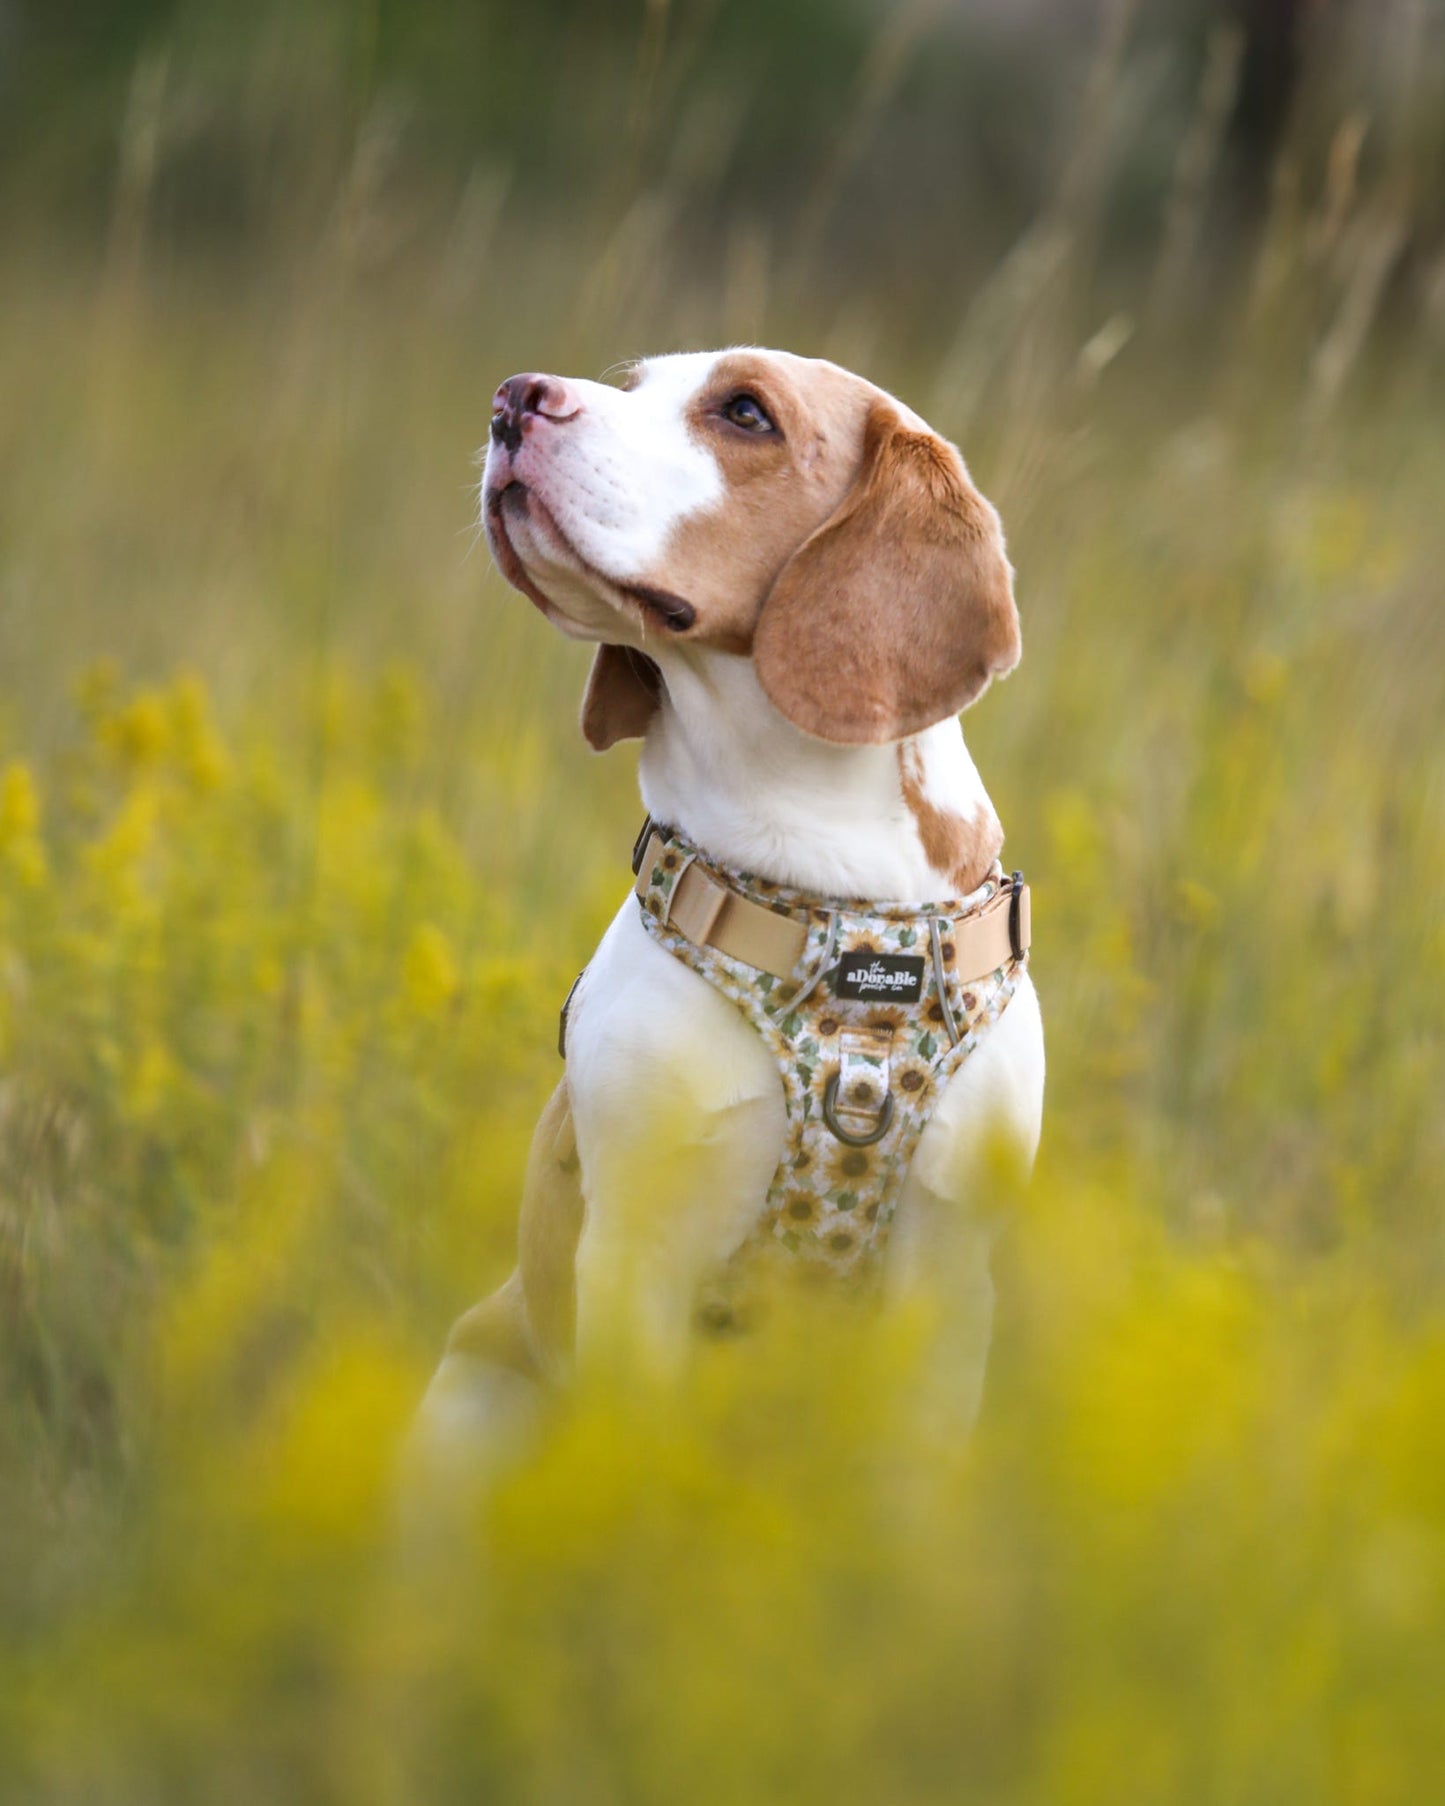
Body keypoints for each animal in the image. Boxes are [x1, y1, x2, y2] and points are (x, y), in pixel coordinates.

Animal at [413, 348, 1044, 1471]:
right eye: (634, 385)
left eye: (745, 413)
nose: (513, 397)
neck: (834, 888)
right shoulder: (637, 1262)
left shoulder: (947, 1283)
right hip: (469, 1402)